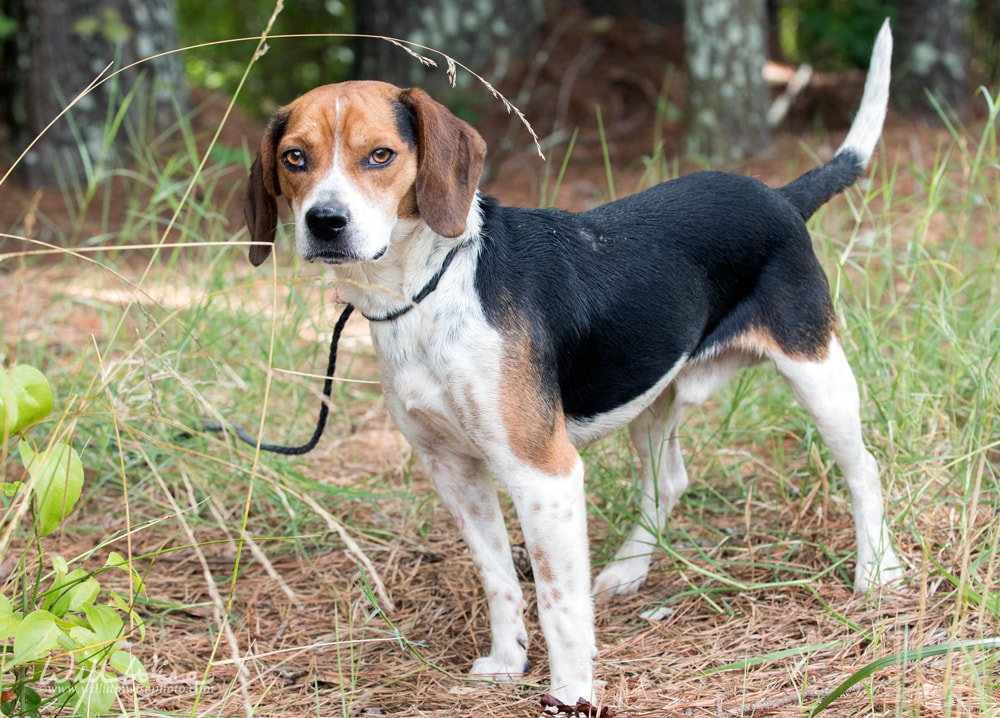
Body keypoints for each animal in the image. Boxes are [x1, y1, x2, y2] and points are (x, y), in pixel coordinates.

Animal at [246, 21, 904, 708]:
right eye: (294, 158)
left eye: (380, 155)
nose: (326, 222)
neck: (427, 292)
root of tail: (779, 195)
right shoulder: (452, 470)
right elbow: (499, 578)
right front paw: (508, 661)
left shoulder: (545, 476)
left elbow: (558, 603)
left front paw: (570, 692)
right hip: (651, 396)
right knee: (668, 482)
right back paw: (627, 570)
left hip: (817, 371)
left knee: (863, 470)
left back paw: (877, 572)